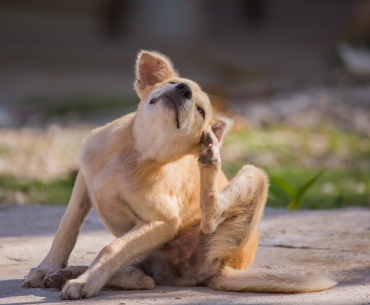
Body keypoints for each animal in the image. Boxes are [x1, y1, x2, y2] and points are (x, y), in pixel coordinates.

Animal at [21, 50, 336, 296]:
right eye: (174, 83)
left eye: (200, 111)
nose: (183, 90)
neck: (136, 153)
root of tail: (225, 269)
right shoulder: (83, 183)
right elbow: (67, 228)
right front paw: (47, 268)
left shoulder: (162, 222)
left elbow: (111, 248)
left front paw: (85, 282)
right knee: (142, 275)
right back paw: (71, 273)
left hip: (251, 180)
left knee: (195, 230)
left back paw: (210, 160)